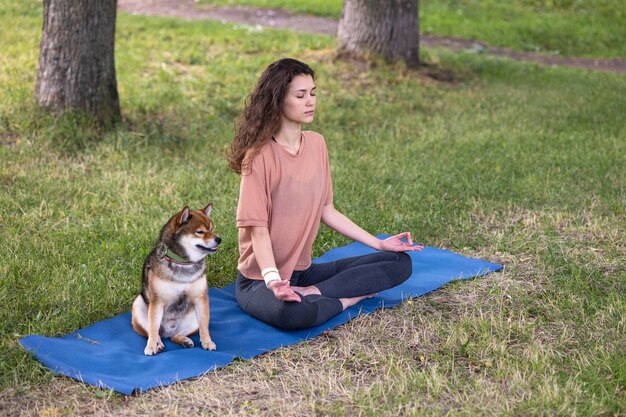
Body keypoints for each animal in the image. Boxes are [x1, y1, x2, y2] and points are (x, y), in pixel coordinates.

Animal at [130, 203, 221, 352]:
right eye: (200, 232)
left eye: (212, 229)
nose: (219, 239)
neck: (183, 262)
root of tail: (168, 331)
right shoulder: (157, 301)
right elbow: (153, 328)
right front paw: (151, 346)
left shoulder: (200, 298)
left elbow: (204, 325)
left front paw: (207, 341)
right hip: (138, 305)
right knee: (154, 332)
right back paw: (158, 344)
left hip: (192, 318)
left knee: (175, 336)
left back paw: (184, 340)